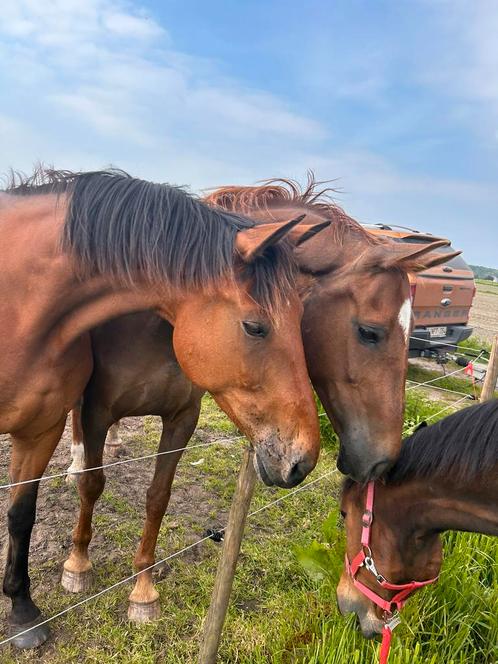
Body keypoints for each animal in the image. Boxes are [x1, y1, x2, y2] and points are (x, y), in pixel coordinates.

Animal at [62, 178, 456, 624]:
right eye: (370, 332)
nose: (384, 461)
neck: (159, 321)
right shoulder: (97, 410)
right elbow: (93, 484)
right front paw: (78, 565)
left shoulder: (182, 419)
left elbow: (157, 497)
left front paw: (143, 589)